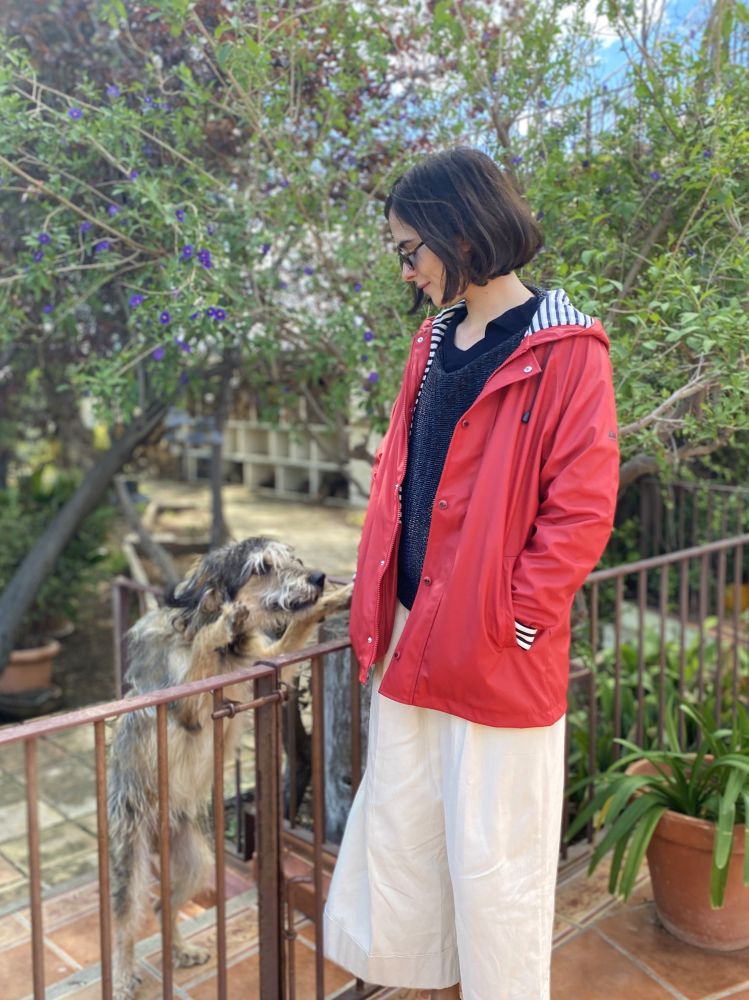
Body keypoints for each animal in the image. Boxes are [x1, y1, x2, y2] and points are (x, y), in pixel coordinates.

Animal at [107, 537, 353, 1000]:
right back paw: (124, 976)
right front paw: (218, 625)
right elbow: (202, 653)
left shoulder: (269, 660)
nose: (317, 576)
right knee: (126, 924)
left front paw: (336, 598)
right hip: (131, 860)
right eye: (262, 567)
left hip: (197, 862)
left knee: (162, 906)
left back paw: (180, 951)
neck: (232, 651)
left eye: (294, 559)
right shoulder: (185, 708)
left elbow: (297, 626)